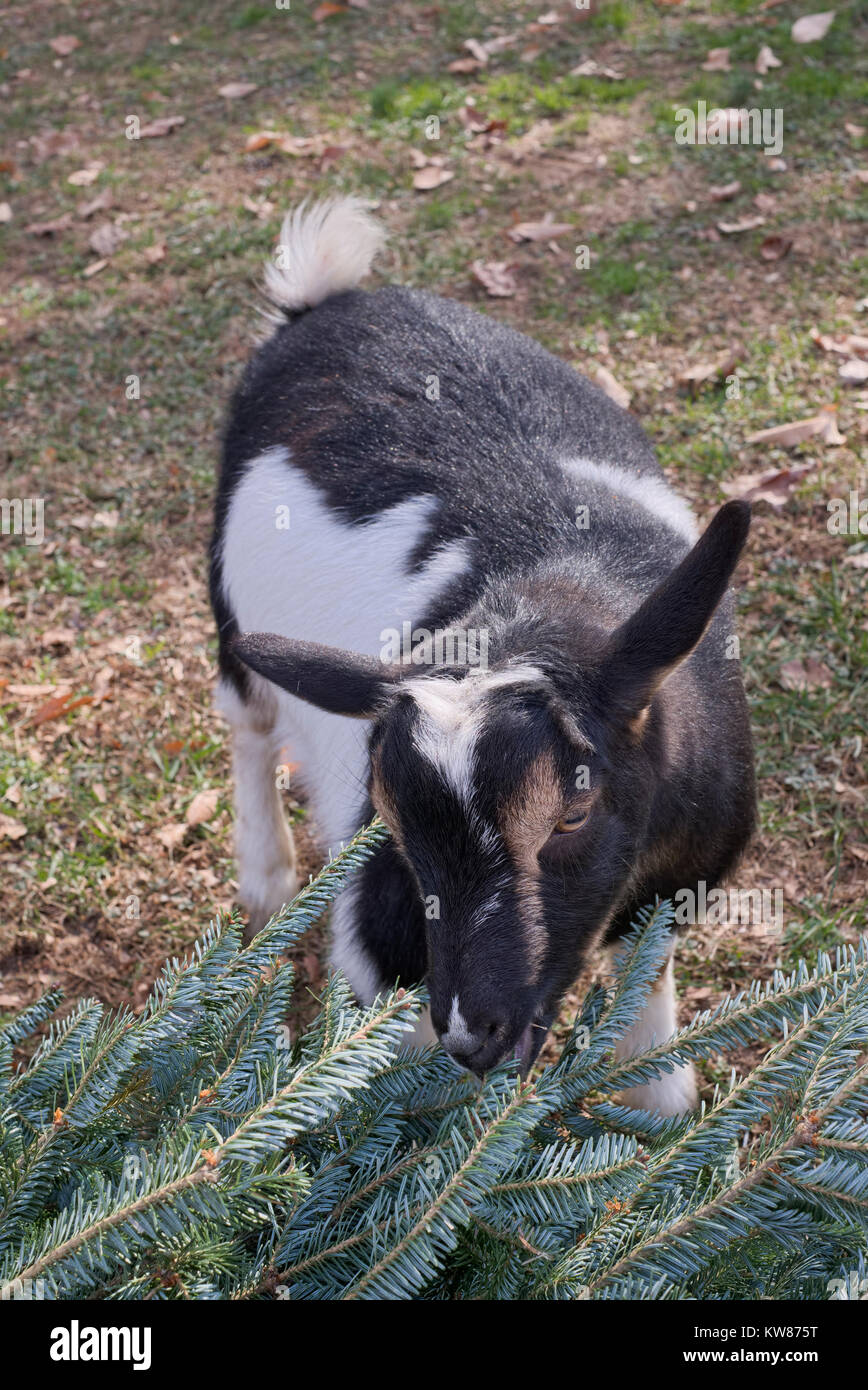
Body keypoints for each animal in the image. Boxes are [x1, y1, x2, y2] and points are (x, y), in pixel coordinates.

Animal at [209, 197, 756, 1114]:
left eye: (573, 812)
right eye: (392, 821)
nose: (475, 1032)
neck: (552, 595)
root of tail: (329, 305)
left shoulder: (678, 878)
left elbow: (647, 984)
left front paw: (661, 1109)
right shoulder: (381, 930)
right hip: (229, 610)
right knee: (248, 723)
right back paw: (266, 882)